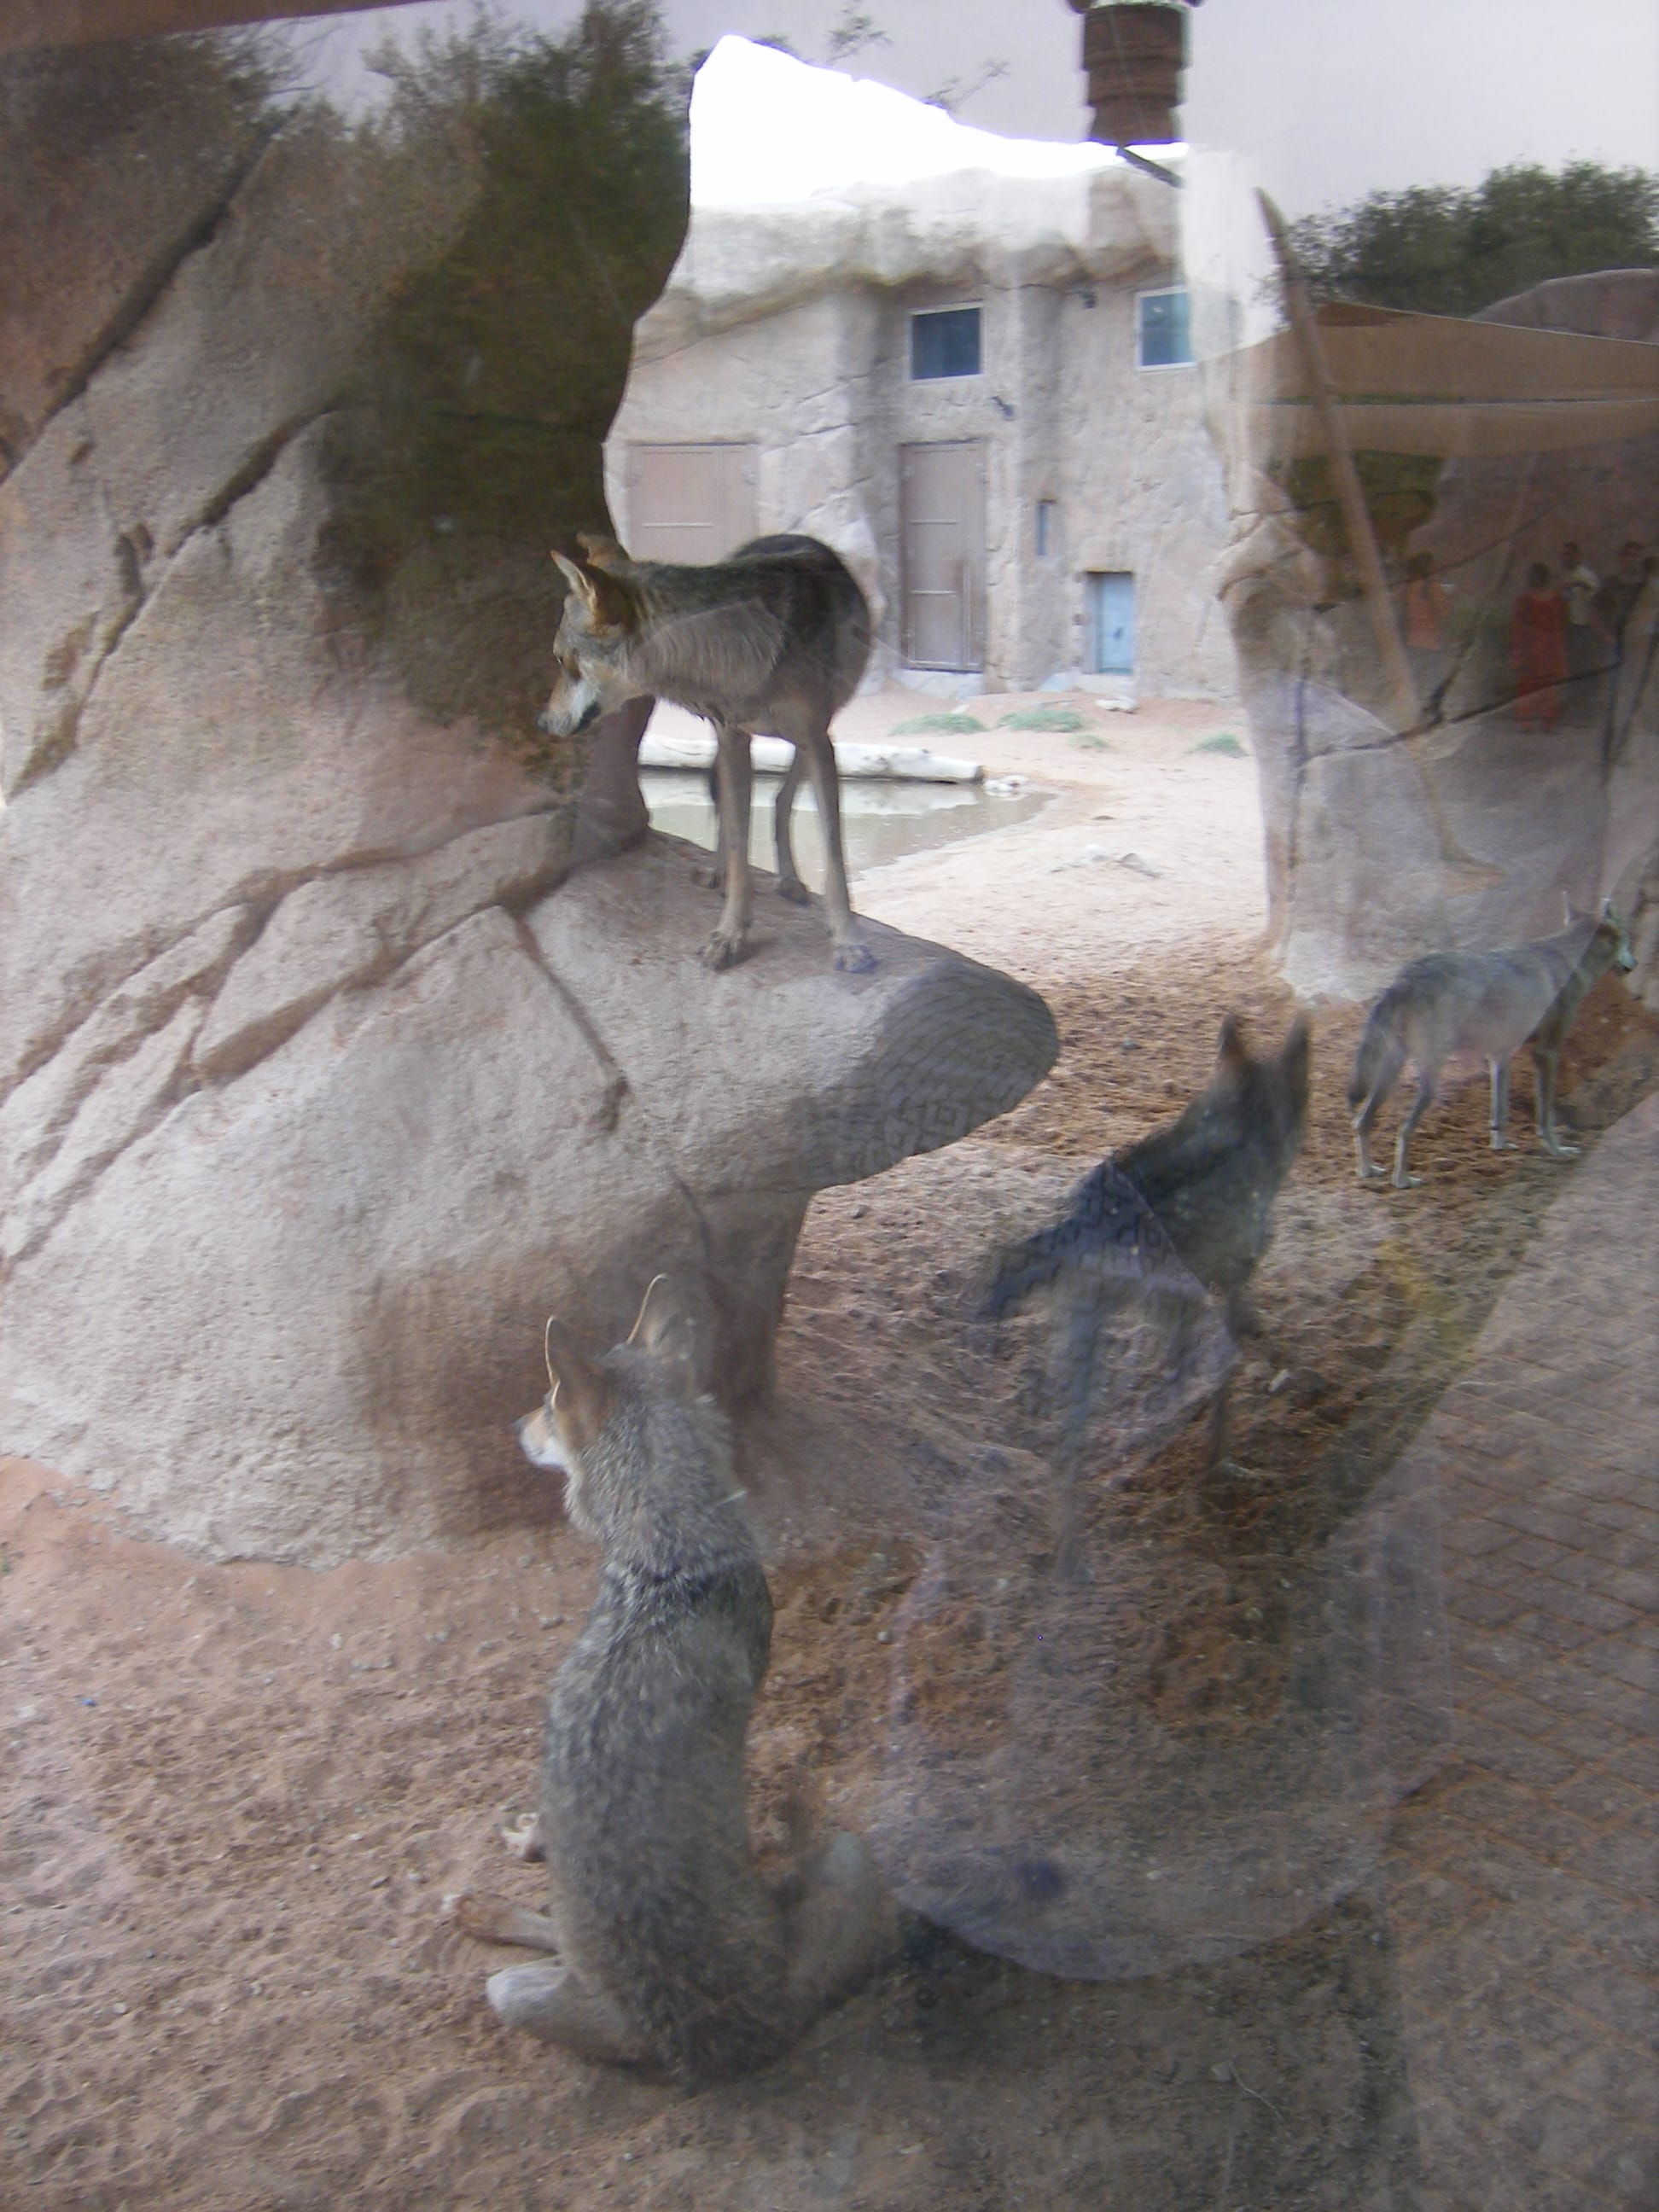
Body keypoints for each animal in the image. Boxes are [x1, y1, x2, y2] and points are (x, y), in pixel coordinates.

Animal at [445, 1278, 889, 2083]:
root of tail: (728, 2040)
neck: (668, 1557)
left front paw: (528, 1840)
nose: (514, 1424)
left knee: (552, 1940)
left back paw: (484, 1908)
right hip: (848, 1852)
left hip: (514, 1990)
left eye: (546, 1406)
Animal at [541, 532, 875, 974]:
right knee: (731, 814)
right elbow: (736, 843)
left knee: (781, 801)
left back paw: (789, 879)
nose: (542, 722)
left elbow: (833, 855)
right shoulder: (733, 740)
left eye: (563, 660)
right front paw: (729, 934)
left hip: (812, 739)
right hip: (728, 744)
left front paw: (848, 942)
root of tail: (788, 535)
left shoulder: (818, 741)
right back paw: (719, 873)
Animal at [983, 1014, 1311, 1549]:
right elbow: (1218, 1380)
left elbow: (1182, 1358)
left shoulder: (1190, 1295)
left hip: (1075, 1328)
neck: (1242, 1124)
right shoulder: (1227, 1278)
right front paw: (1218, 1456)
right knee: (1069, 1450)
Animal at [1348, 903, 1636, 1189]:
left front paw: (1500, 1145)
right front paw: (1557, 1150)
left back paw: (1367, 1171)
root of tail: (1403, 979)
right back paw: (1402, 1180)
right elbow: (1546, 1115)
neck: (1569, 961)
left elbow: (1500, 1111)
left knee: (1361, 1122)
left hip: (1390, 1074)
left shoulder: (1499, 1057)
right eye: (1628, 940)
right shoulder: (1546, 1053)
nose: (1635, 963)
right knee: (1403, 1130)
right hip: (1429, 1084)